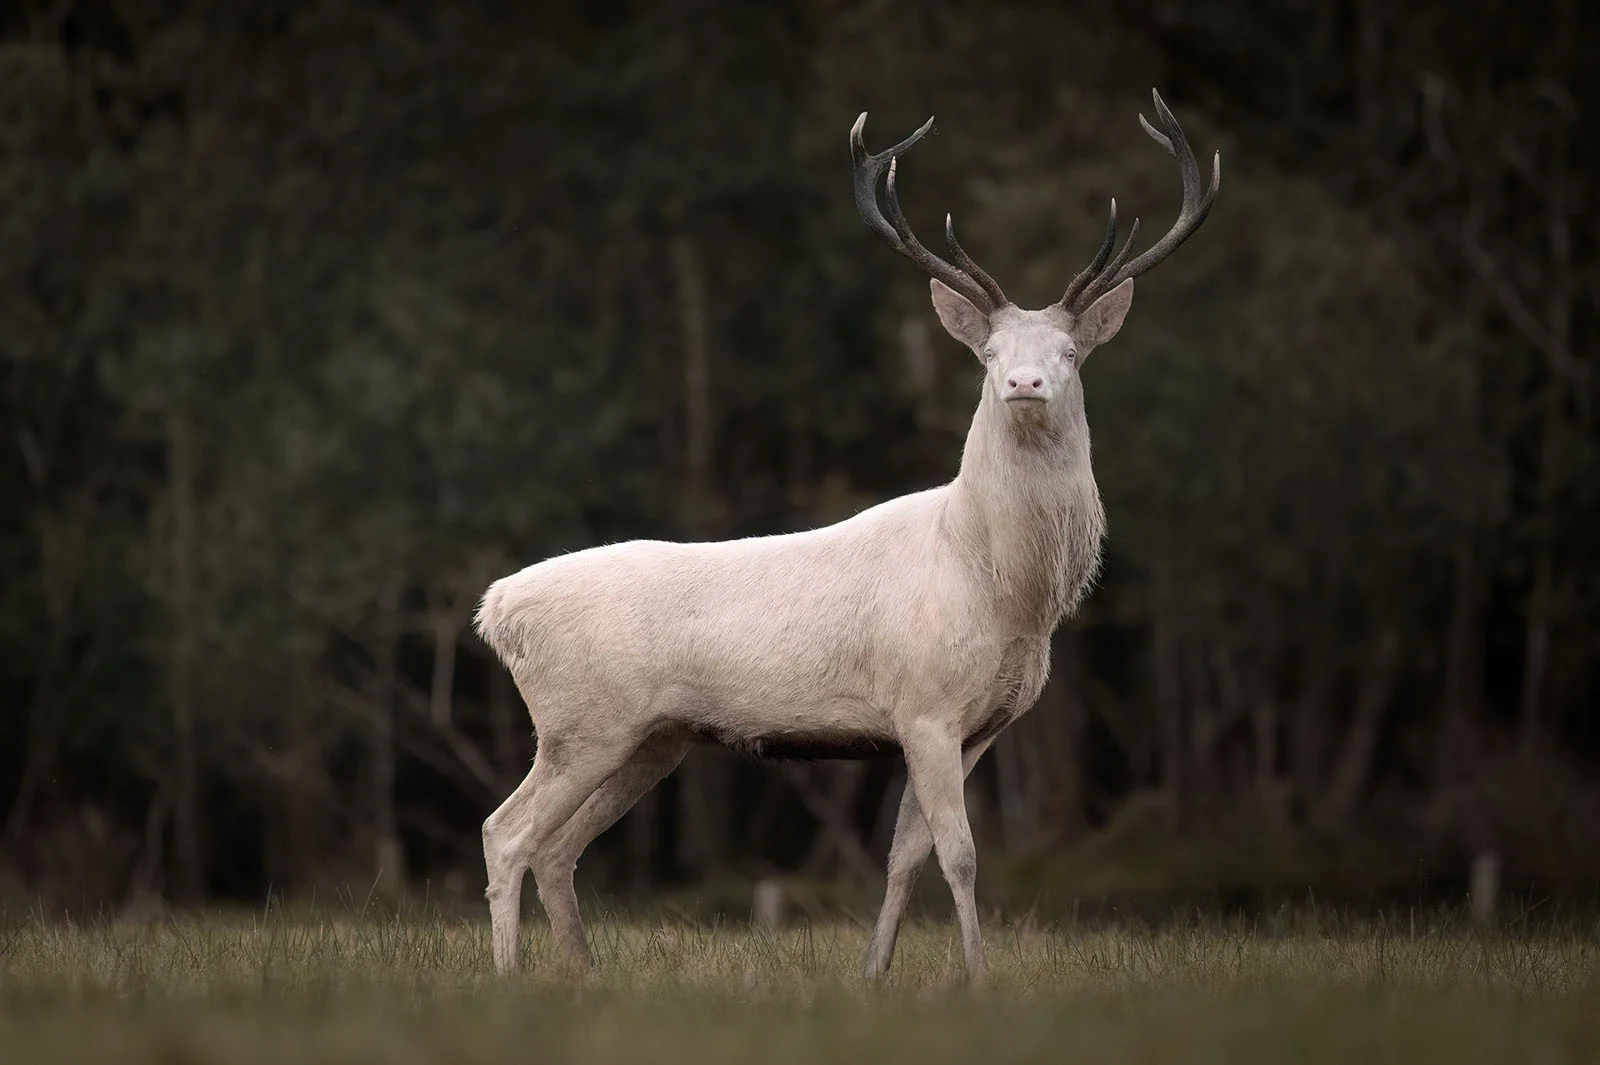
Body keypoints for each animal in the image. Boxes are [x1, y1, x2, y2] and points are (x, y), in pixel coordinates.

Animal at [475, 89, 1219, 982]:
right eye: (988, 352)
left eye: (1071, 351)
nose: (1024, 383)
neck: (1006, 590)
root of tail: (496, 610)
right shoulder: (924, 704)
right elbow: (960, 852)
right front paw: (977, 976)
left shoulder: (976, 725)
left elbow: (907, 855)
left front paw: (875, 971)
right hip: (581, 719)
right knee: (506, 831)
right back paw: (509, 975)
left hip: (652, 736)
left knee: (558, 847)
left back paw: (583, 973)